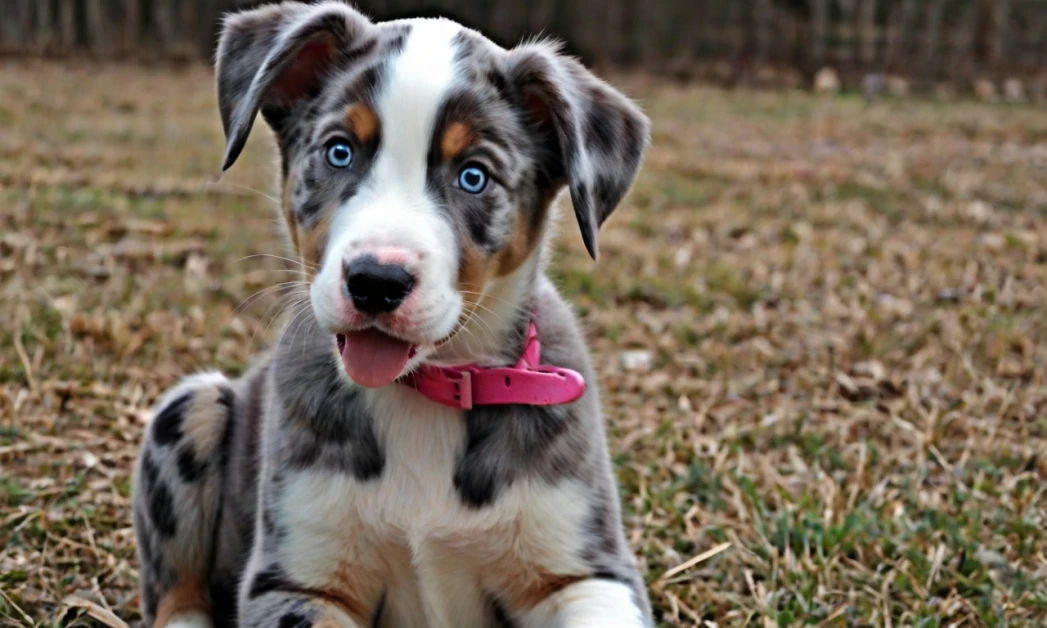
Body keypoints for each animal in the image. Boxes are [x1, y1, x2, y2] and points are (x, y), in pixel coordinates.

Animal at [131, 2, 653, 623]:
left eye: (473, 175)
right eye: (339, 151)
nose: (376, 283)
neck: (427, 393)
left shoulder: (586, 572)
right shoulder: (297, 577)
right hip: (192, 406)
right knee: (175, 592)